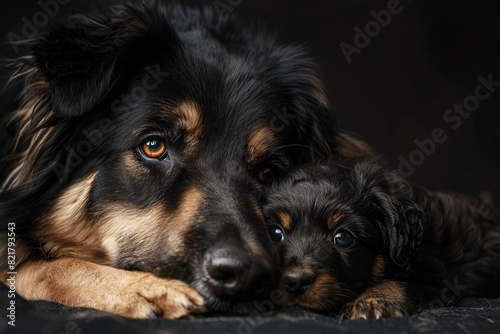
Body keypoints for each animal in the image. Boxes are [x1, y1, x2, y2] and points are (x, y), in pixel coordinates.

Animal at [264, 160, 498, 320]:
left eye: (342, 237)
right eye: (275, 233)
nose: (295, 281)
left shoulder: (438, 277)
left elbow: (397, 283)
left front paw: (372, 302)